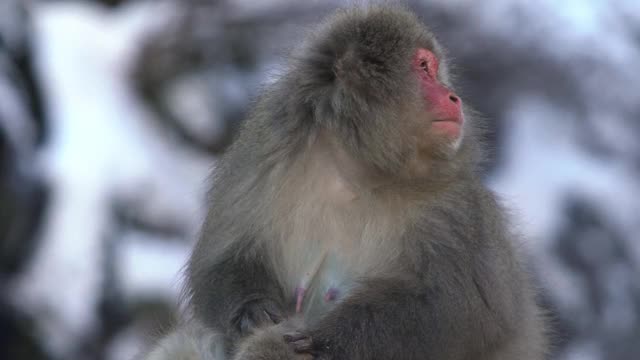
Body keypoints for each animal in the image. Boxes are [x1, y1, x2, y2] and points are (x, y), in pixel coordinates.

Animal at [144, 4, 544, 360]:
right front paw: (251, 308)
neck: (355, 169)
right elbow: (222, 257)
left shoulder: (454, 206)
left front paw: (326, 342)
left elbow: (465, 308)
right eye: (423, 67)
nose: (453, 97)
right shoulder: (263, 154)